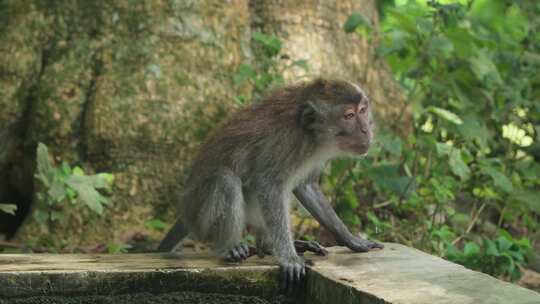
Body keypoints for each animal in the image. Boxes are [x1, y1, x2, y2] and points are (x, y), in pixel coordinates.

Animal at [158, 77, 382, 288]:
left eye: (362, 110)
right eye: (349, 116)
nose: (366, 130)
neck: (311, 134)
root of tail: (186, 211)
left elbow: (305, 186)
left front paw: (352, 240)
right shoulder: (286, 142)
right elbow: (269, 184)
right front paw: (289, 258)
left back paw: (268, 246)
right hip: (200, 218)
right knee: (227, 180)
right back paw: (229, 248)